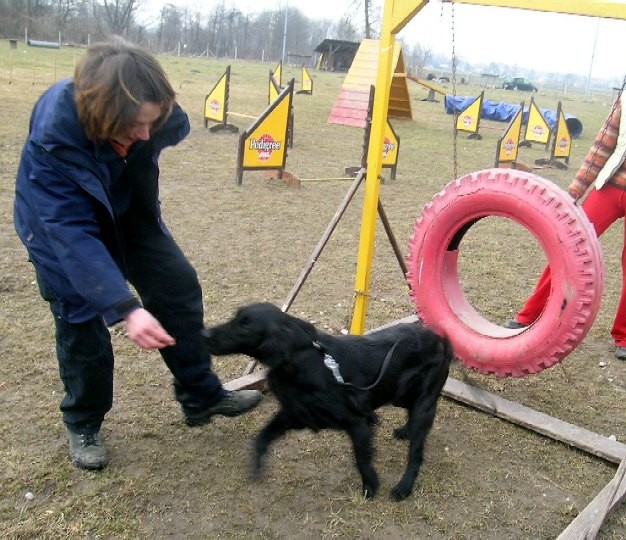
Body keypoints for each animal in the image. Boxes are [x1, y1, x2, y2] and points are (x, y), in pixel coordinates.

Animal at [202, 302, 450, 500]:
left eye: (245, 326)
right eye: (236, 318)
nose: (205, 334)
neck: (301, 358)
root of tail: (440, 339)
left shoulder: (357, 422)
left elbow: (361, 458)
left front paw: (371, 485)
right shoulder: (294, 413)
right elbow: (262, 437)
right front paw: (257, 466)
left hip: (423, 403)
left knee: (416, 453)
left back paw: (404, 487)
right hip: (401, 395)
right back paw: (404, 431)